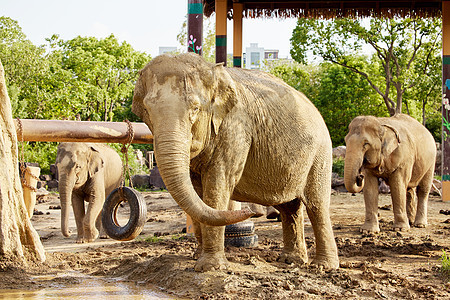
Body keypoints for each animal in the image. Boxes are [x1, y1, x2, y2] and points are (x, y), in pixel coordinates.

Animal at [132, 54, 340, 272]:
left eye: (195, 109)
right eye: (147, 111)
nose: (250, 211)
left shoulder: (236, 128)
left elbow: (216, 186)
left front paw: (210, 267)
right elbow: (197, 191)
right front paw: (197, 258)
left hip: (320, 154)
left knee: (316, 206)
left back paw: (324, 266)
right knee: (289, 207)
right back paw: (291, 261)